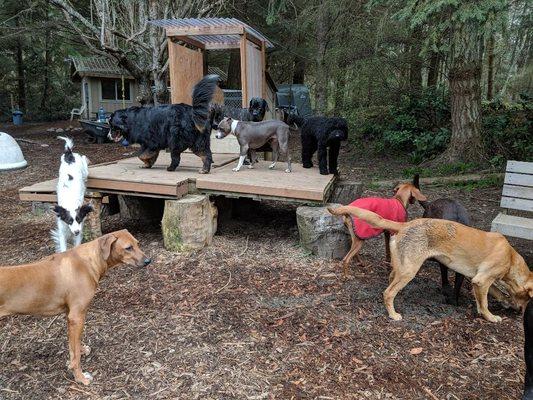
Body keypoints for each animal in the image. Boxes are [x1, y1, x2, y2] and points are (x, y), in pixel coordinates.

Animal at [0, 231, 151, 384]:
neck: (88, 261)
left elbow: (74, 347)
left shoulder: (70, 315)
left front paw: (80, 352)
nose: (148, 261)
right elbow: (76, 355)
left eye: (138, 244)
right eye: (128, 248)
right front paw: (80, 377)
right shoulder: (77, 316)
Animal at [326, 206, 528, 322]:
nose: (521, 313)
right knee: (388, 292)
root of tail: (405, 225)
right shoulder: (482, 280)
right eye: (529, 299)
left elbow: (494, 293)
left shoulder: (478, 279)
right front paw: (491, 317)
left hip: (400, 269)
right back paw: (393, 314)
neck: (510, 257)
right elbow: (484, 303)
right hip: (409, 271)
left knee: (389, 283)